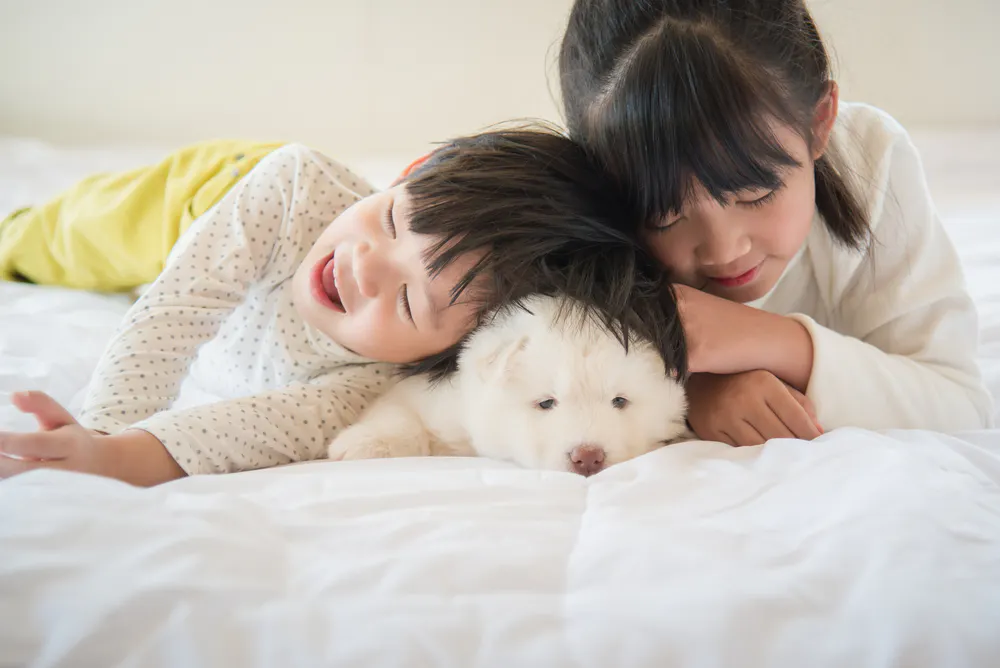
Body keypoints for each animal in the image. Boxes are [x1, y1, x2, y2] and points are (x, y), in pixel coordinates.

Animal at [328, 295, 690, 476]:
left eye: (620, 401)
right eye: (546, 403)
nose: (588, 457)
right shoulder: (430, 395)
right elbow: (402, 416)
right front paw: (360, 445)